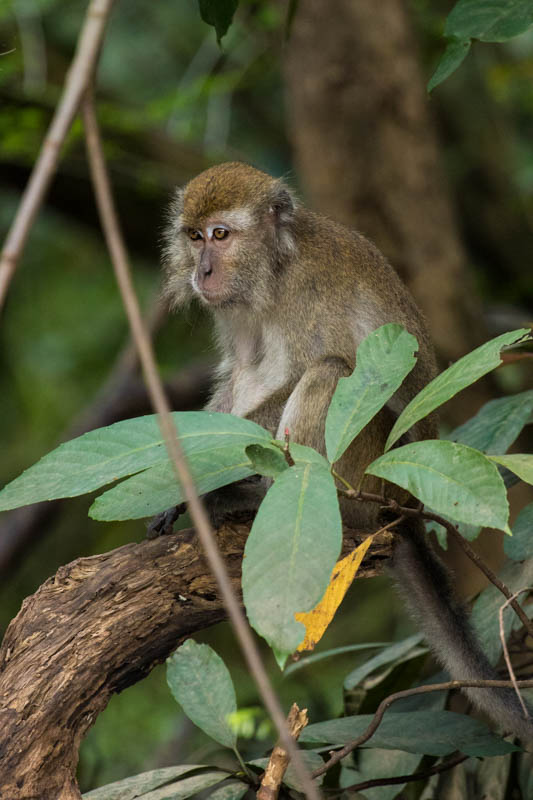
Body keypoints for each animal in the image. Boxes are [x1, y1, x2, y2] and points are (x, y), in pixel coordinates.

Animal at [160, 162, 532, 744]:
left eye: (222, 234)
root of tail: (404, 511)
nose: (203, 270)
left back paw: (269, 497)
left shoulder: (310, 294)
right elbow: (236, 378)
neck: (273, 271)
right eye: (194, 236)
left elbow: (318, 365)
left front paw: (186, 478)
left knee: (330, 372)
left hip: (365, 474)